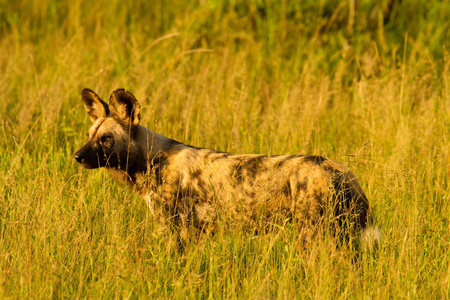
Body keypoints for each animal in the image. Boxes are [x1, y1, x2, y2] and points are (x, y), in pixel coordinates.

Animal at [73, 88, 380, 248]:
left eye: (106, 139)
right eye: (89, 135)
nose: (76, 156)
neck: (151, 159)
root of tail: (340, 170)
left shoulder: (174, 230)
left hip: (314, 235)